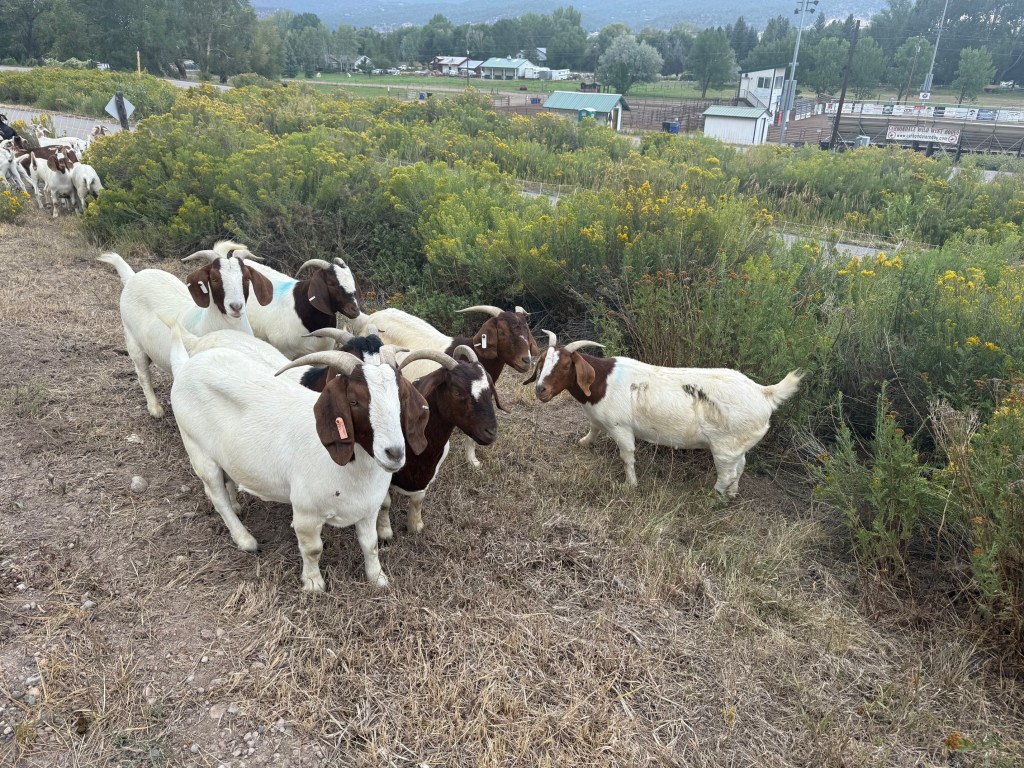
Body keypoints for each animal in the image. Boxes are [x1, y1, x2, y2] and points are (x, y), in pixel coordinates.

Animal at [98, 249, 274, 417]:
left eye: (246, 278)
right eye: (214, 279)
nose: (236, 307)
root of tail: (132, 277)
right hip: (133, 340)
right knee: (143, 374)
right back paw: (155, 408)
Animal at [168, 337, 429, 592]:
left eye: (402, 399)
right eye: (354, 401)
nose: (394, 453)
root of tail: (186, 367)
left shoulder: (369, 508)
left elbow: (371, 544)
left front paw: (378, 579)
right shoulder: (306, 513)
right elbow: (313, 549)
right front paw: (313, 584)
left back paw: (236, 505)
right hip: (198, 450)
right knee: (217, 497)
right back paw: (245, 539)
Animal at [526, 330, 803, 497]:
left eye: (566, 365)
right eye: (541, 362)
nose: (541, 389)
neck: (600, 383)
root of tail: (765, 393)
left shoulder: (620, 427)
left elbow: (627, 457)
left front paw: (630, 485)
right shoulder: (599, 418)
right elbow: (593, 428)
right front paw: (582, 443)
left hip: (724, 446)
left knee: (727, 473)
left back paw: (713, 498)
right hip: (737, 444)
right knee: (741, 466)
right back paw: (732, 494)